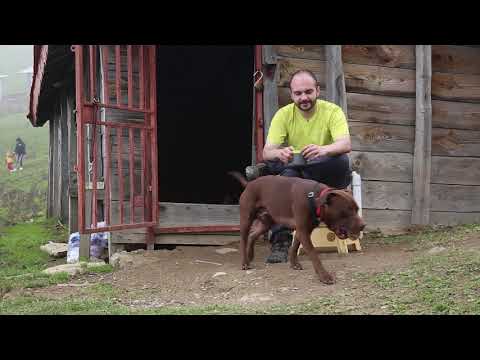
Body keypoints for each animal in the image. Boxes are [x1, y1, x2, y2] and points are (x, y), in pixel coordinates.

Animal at [229, 172, 364, 284]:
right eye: (346, 212)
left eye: (357, 209)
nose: (363, 225)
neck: (314, 198)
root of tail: (249, 184)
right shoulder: (303, 230)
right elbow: (313, 254)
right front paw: (324, 276)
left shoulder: (302, 230)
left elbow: (294, 247)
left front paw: (294, 264)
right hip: (246, 219)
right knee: (244, 239)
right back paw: (245, 262)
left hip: (267, 222)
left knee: (252, 235)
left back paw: (250, 255)